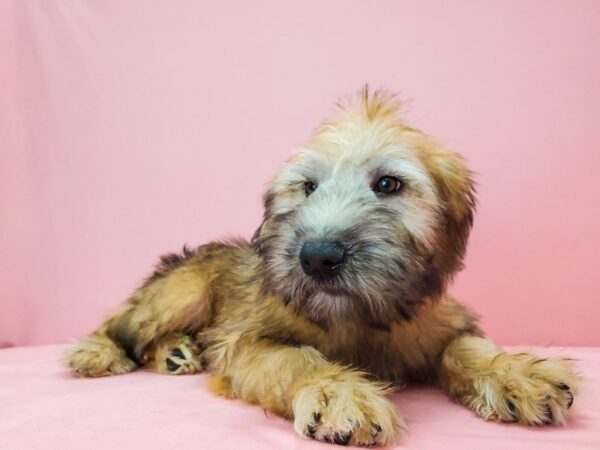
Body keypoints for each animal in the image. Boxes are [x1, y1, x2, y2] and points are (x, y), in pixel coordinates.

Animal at [63, 89, 580, 446]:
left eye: (388, 183)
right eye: (308, 187)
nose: (317, 256)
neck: (363, 318)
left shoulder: (442, 323)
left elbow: (467, 348)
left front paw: (515, 372)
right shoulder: (249, 341)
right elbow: (296, 358)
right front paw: (338, 392)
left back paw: (175, 351)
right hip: (180, 293)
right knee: (123, 324)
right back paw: (103, 351)